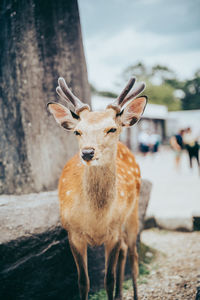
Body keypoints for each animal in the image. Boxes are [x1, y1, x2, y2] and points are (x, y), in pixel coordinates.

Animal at [47, 75, 147, 300]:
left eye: (112, 128)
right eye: (77, 131)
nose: (87, 152)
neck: (96, 220)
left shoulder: (113, 233)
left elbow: (108, 279)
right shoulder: (73, 234)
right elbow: (83, 281)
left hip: (133, 212)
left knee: (133, 253)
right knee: (125, 250)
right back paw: (120, 295)